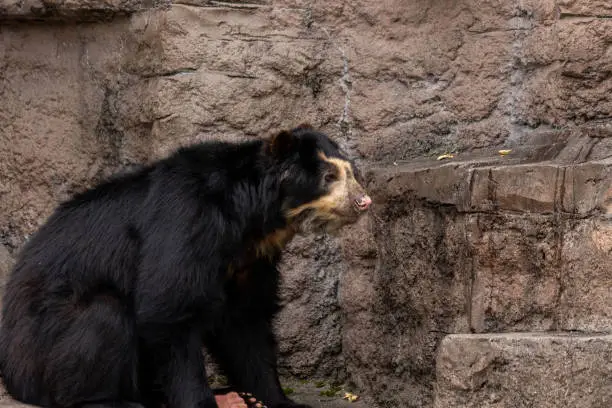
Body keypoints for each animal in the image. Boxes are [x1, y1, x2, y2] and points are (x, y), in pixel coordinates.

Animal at [0, 126, 372, 408]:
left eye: (352, 173)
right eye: (328, 176)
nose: (364, 201)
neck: (249, 222)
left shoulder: (251, 260)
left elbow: (246, 322)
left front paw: (276, 400)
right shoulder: (186, 221)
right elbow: (169, 309)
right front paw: (202, 402)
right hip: (43, 346)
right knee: (102, 317)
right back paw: (115, 401)